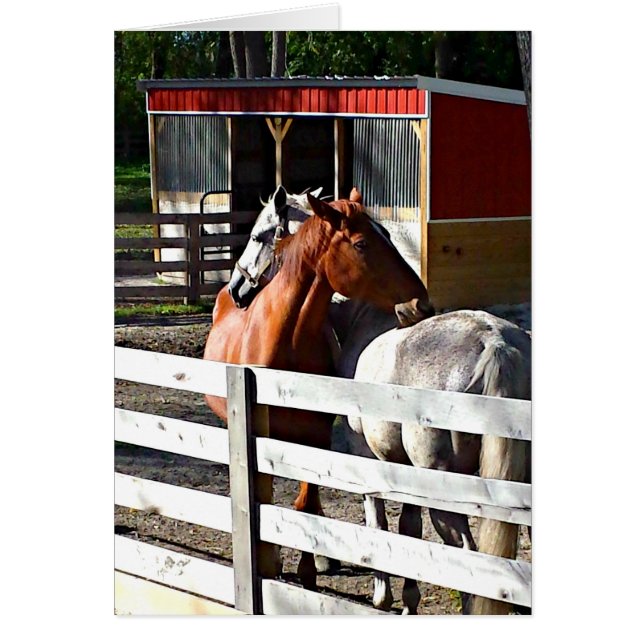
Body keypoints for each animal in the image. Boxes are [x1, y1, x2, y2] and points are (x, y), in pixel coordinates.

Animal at [203, 189, 433, 590]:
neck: (284, 342)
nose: (420, 303)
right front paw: (275, 561)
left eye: (387, 235)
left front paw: (308, 573)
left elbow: (305, 504)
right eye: (361, 243)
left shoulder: (314, 437)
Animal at [227, 193, 532, 615]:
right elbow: (408, 529)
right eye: (373, 238)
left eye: (259, 235)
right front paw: (408, 600)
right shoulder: (397, 465)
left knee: (470, 556)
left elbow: (379, 525)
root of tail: (497, 344)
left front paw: (384, 596)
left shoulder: (367, 459)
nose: (236, 288)